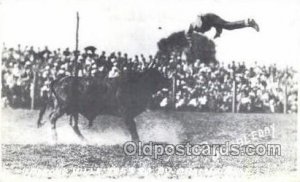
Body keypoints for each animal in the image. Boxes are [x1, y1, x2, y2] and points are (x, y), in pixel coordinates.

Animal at [36, 63, 170, 141]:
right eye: (157, 76)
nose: (167, 81)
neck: (136, 83)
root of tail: (59, 79)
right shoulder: (126, 114)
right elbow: (133, 128)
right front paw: (137, 141)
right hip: (63, 107)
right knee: (52, 118)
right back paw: (55, 138)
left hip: (73, 110)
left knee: (73, 125)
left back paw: (85, 141)